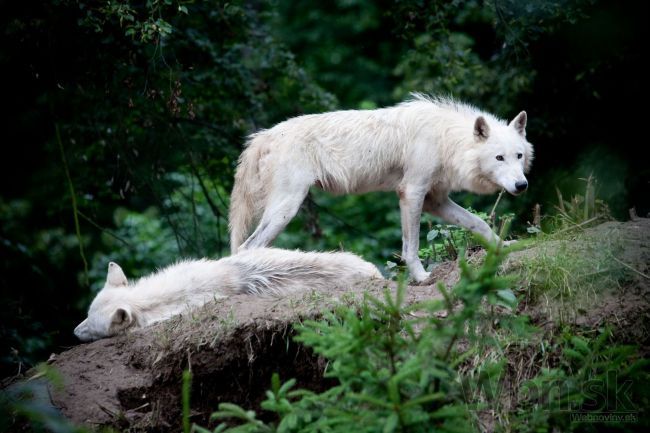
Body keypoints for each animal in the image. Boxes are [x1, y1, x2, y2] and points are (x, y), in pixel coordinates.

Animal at [228, 93, 532, 282]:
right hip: (287, 207)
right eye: (499, 158)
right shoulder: (411, 192)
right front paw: (421, 277)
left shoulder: (435, 200)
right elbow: (411, 246)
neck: (446, 140)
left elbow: (478, 224)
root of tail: (264, 135)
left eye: (518, 156)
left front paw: (504, 245)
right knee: (246, 247)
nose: (522, 185)